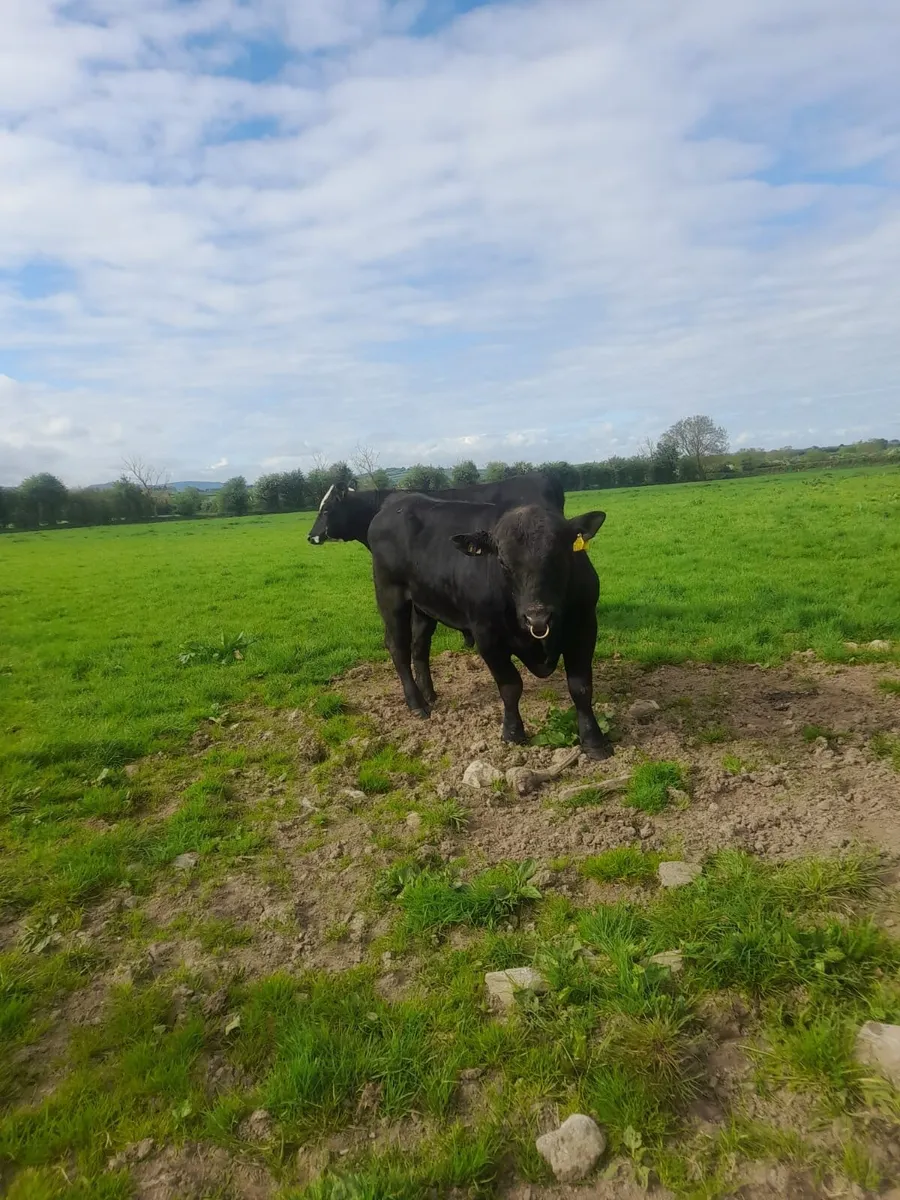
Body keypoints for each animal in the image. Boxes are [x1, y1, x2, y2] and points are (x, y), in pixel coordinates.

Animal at [368, 494, 611, 758]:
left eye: (562, 555)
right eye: (502, 561)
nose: (537, 617)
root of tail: (397, 501)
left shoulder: (585, 626)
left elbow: (580, 687)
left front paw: (593, 740)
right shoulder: (488, 637)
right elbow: (511, 686)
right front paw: (513, 733)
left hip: (424, 606)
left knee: (419, 646)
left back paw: (430, 694)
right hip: (391, 597)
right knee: (398, 648)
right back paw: (417, 704)